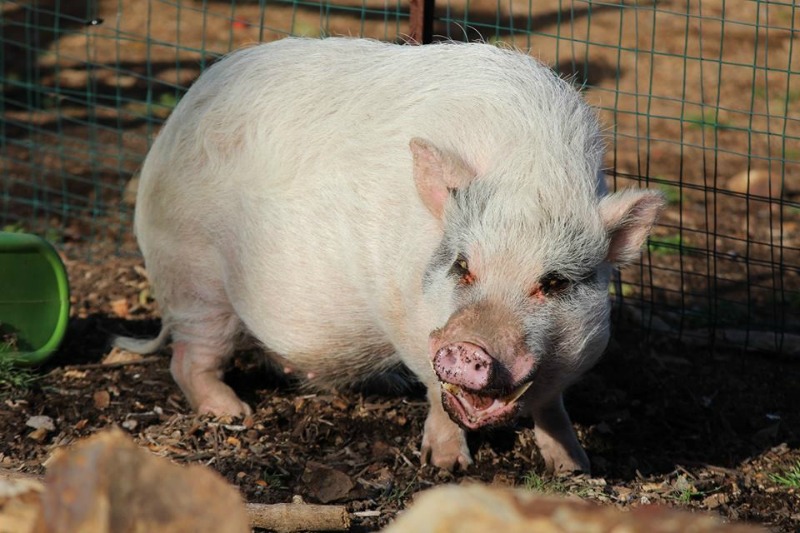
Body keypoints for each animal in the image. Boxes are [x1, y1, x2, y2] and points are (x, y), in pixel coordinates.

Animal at [112, 37, 664, 472]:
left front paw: (576, 468)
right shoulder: (407, 317)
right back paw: (233, 412)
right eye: (462, 266)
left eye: (554, 283)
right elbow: (438, 395)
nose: (469, 346)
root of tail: (167, 135)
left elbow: (552, 404)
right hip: (195, 275)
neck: (531, 179)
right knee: (189, 358)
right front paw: (447, 467)